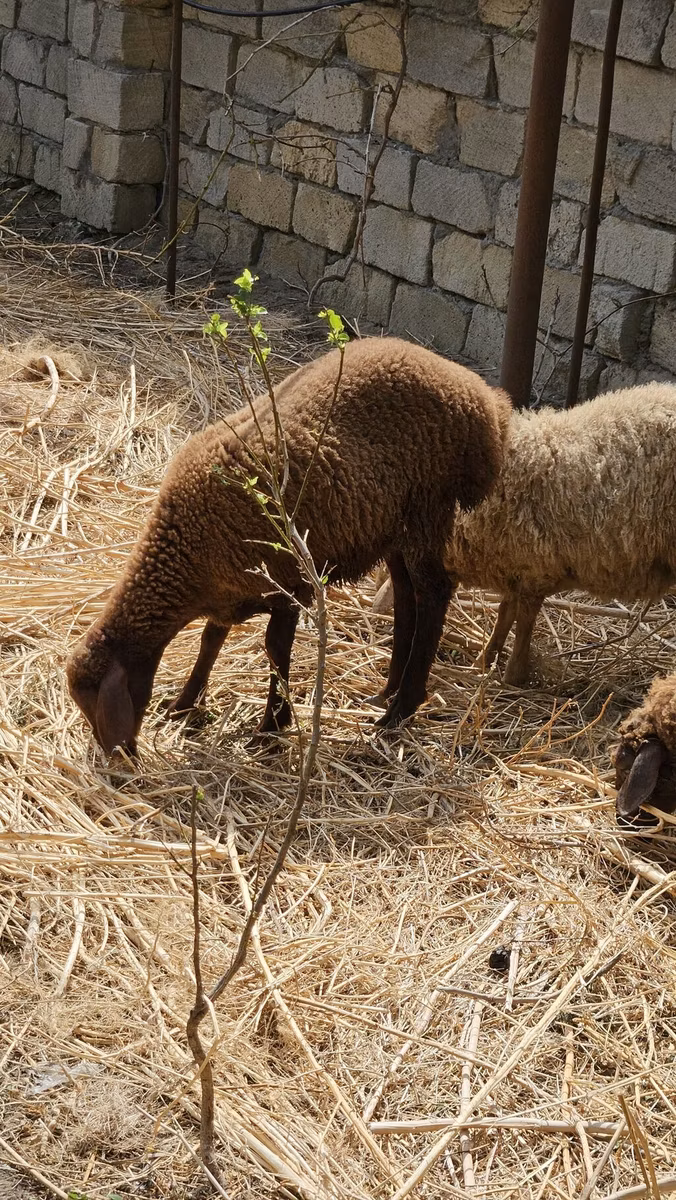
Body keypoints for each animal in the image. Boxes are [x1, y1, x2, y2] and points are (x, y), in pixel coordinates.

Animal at [66, 336, 511, 754]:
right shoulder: (229, 591)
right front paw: (185, 703)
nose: (119, 758)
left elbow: (274, 650)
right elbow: (211, 640)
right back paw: (387, 692)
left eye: (96, 707)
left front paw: (270, 727)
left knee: (434, 592)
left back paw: (400, 710)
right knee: (407, 595)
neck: (184, 552)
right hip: (395, 521)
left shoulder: (287, 585)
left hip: (429, 504)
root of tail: (485, 402)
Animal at [372, 381, 676, 687]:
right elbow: (505, 612)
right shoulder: (515, 566)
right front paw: (485, 660)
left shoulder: (535, 568)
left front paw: (513, 676)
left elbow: (524, 623)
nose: (377, 607)